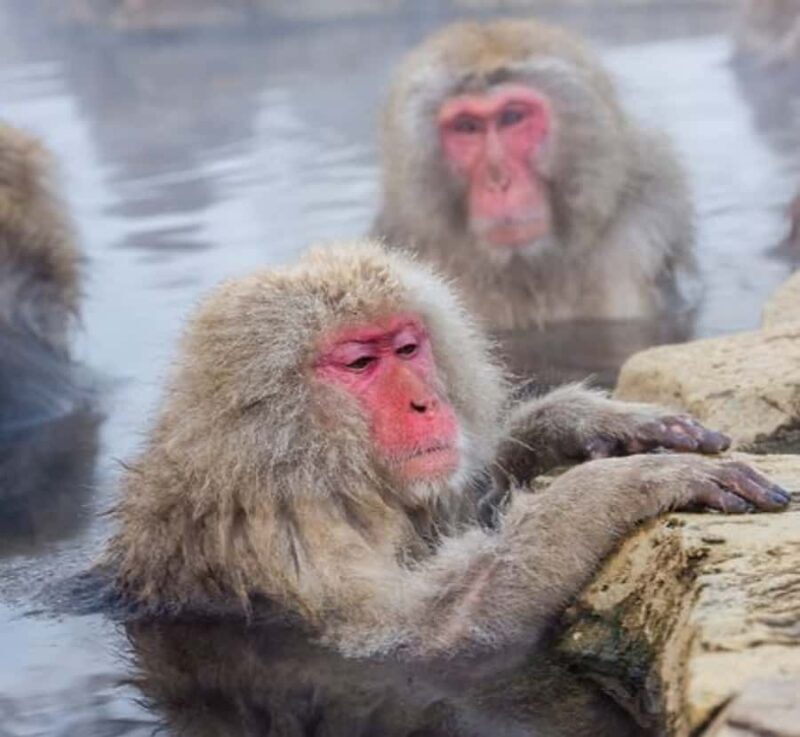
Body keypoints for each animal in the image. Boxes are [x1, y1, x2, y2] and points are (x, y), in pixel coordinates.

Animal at [104, 240, 789, 660]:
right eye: (360, 363)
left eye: (407, 348)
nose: (425, 404)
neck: (295, 456)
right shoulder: (287, 533)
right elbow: (427, 639)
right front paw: (625, 483)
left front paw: (596, 422)